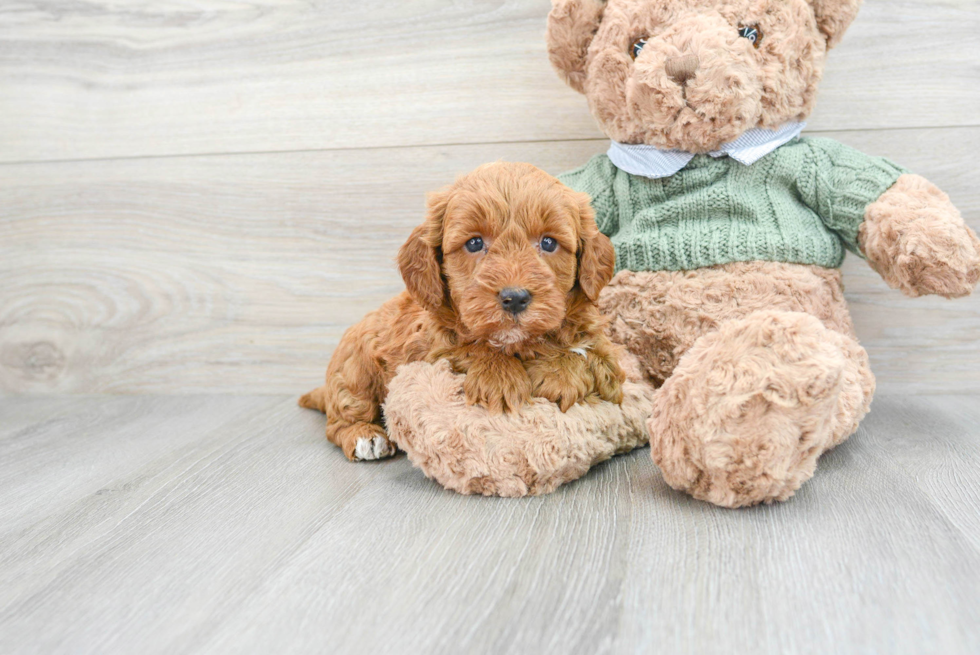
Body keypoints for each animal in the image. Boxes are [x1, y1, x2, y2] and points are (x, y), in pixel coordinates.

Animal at [298, 163, 624, 462]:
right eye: (475, 243)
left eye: (548, 242)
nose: (515, 298)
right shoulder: (431, 348)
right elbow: (470, 348)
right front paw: (499, 377)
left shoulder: (602, 347)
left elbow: (596, 357)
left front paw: (560, 372)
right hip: (356, 372)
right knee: (339, 420)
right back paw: (365, 436)